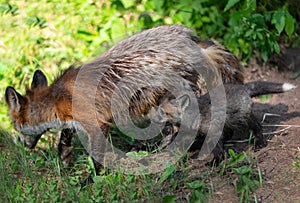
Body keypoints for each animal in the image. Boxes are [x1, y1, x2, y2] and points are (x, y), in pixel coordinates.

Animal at [4, 25, 244, 171]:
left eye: (15, 125)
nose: (22, 146)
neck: (59, 99)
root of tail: (191, 39)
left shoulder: (96, 123)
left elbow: (97, 157)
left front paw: (90, 181)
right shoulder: (76, 121)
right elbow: (64, 137)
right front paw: (65, 158)